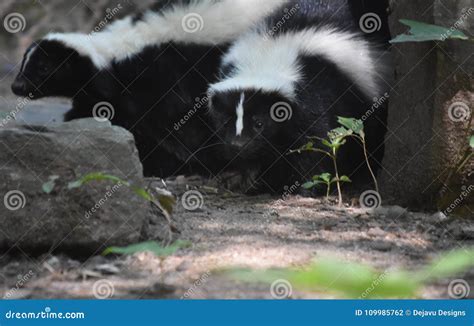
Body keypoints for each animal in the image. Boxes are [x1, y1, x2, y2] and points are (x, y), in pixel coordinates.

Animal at [10, 0, 286, 177]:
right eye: (24, 62)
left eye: (44, 67)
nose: (16, 86)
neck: (113, 55)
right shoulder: (107, 95)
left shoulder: (163, 81)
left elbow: (181, 129)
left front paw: (187, 166)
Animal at [206, 0, 388, 192]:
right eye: (225, 121)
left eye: (259, 123)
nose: (238, 144)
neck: (265, 57)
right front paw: (246, 178)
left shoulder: (318, 90)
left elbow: (316, 143)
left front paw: (305, 186)